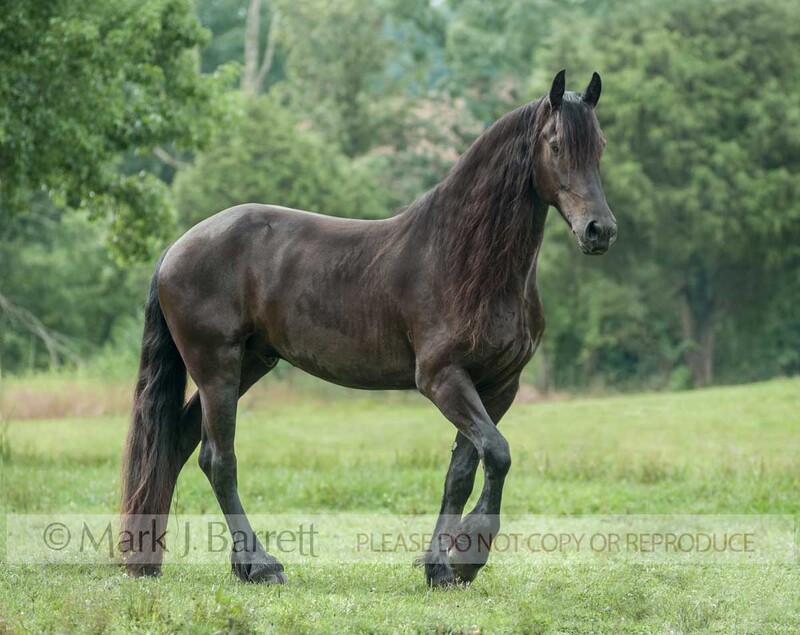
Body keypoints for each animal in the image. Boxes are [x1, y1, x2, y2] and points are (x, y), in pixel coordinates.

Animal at [120, 69, 617, 587]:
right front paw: (468, 553)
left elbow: (462, 473)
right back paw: (260, 564)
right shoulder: (443, 380)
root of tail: (176, 248)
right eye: (556, 144)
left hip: (248, 364)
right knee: (219, 460)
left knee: (180, 445)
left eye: (599, 145)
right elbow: (498, 454)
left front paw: (441, 566)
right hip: (217, 367)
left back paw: (168, 560)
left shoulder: (498, 386)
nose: (599, 230)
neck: (463, 260)